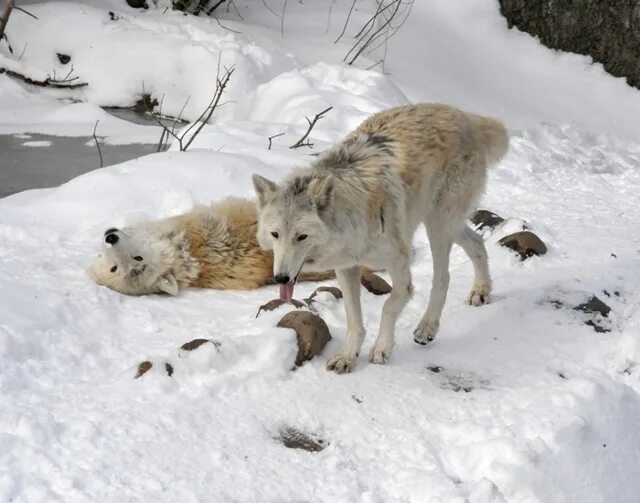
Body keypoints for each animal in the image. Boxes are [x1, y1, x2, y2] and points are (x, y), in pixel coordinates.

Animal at [252, 102, 508, 372]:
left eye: (301, 236)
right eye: (275, 234)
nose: (280, 278)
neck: (352, 218)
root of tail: (467, 117)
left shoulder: (399, 265)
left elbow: (389, 306)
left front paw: (381, 349)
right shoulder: (346, 268)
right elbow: (354, 319)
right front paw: (347, 357)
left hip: (438, 226)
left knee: (443, 277)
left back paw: (427, 327)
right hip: (446, 224)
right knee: (478, 242)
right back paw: (481, 291)